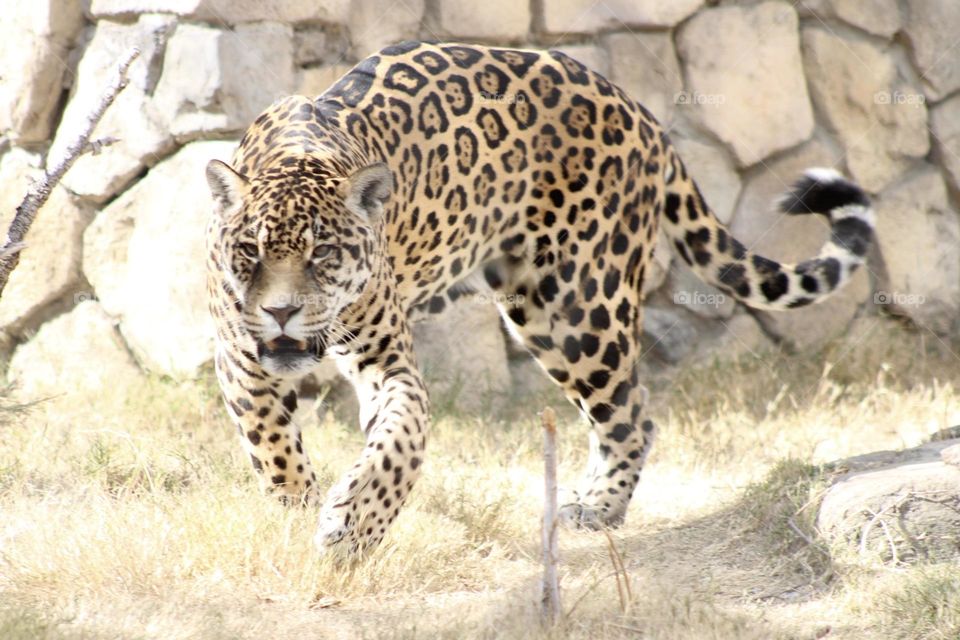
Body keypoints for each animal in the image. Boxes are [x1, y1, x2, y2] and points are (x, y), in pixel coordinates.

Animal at [204, 40, 874, 557]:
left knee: (632, 412)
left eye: (323, 253)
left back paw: (597, 507)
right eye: (251, 252)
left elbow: (399, 440)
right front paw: (297, 511)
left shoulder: (385, 359)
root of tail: (638, 110)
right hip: (543, 311)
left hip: (580, 309)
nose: (281, 312)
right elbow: (273, 446)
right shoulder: (241, 360)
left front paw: (354, 526)